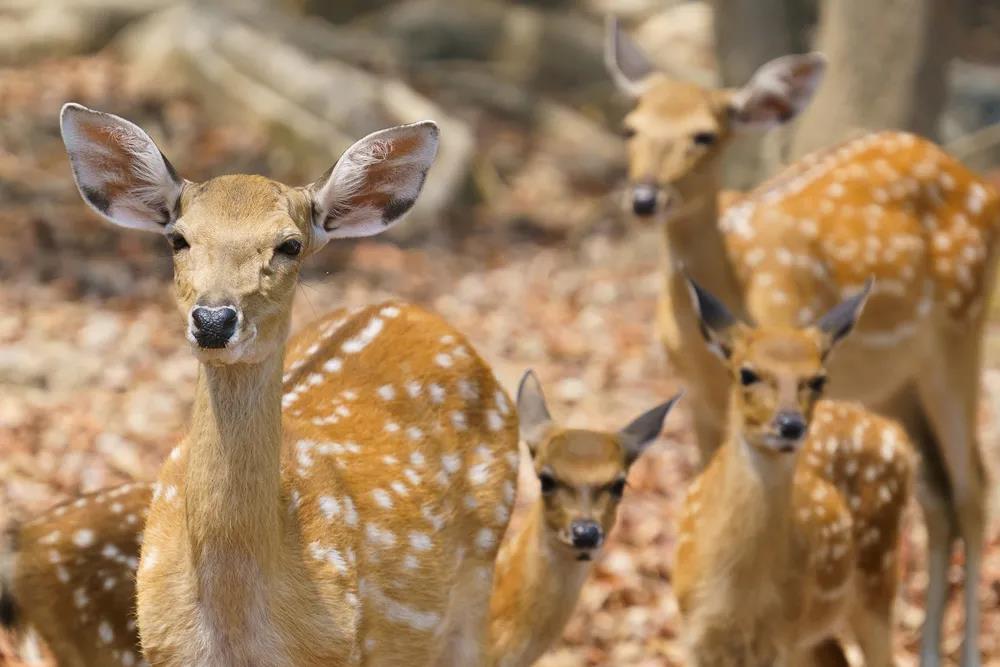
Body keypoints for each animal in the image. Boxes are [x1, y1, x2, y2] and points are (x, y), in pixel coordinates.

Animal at [52, 104, 524, 667]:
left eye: (289, 245)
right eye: (178, 238)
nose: (213, 320)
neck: (234, 627)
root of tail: (416, 312)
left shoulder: (341, 649)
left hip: (480, 566)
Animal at [676, 278, 916, 667]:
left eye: (818, 379)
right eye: (747, 373)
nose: (790, 425)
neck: (735, 598)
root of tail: (896, 433)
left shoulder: (782, 637)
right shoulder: (694, 635)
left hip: (878, 567)